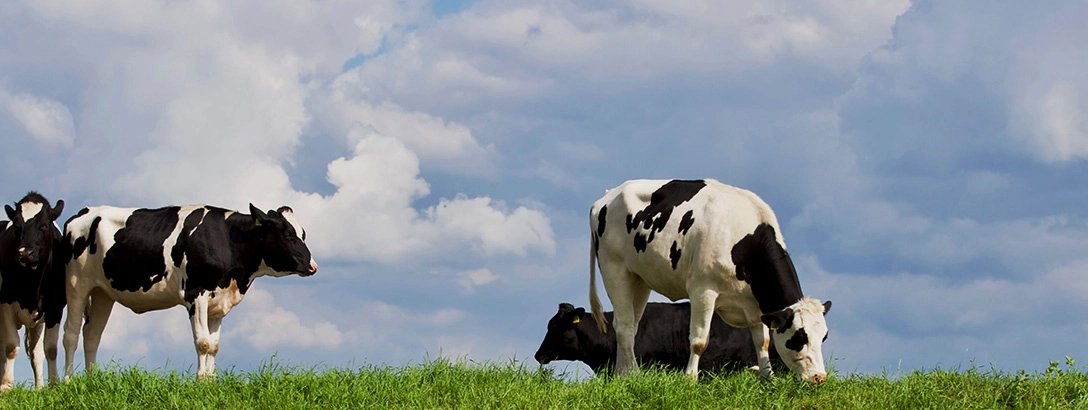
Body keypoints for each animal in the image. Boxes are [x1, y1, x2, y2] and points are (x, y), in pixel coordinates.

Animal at [0, 192, 66, 390]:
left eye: (43, 226)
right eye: (16, 226)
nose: (24, 253)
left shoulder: (55, 308)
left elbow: (49, 349)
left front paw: (51, 385)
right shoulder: (5, 304)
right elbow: (11, 347)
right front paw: (6, 386)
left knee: (36, 352)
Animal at [61, 204, 318, 380]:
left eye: (303, 234)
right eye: (287, 234)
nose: (312, 266)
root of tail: (84, 212)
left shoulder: (218, 302)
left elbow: (214, 345)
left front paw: (212, 382)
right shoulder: (196, 294)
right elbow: (203, 342)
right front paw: (201, 381)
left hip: (102, 293)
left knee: (92, 335)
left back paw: (92, 380)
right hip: (76, 284)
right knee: (71, 334)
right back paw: (67, 381)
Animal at [589, 179, 831, 383]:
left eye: (824, 337)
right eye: (799, 337)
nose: (819, 377)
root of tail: (608, 195)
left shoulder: (754, 306)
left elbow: (762, 341)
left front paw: (767, 379)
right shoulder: (703, 290)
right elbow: (698, 341)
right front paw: (690, 379)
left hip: (639, 278)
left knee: (631, 325)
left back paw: (624, 374)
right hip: (614, 269)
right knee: (623, 325)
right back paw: (632, 374)